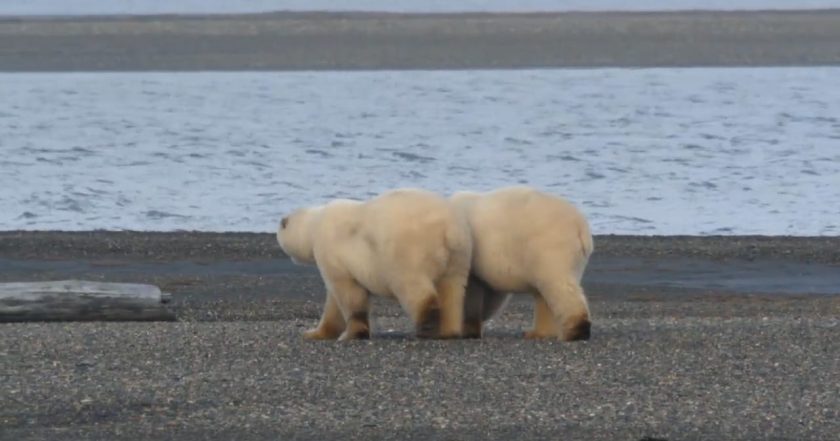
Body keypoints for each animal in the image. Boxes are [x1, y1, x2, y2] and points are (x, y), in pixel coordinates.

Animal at [278, 187, 470, 338]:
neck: (315, 223)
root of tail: (448, 229)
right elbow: (334, 303)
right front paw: (315, 333)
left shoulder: (332, 253)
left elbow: (349, 294)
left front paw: (353, 333)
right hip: (459, 255)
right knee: (452, 290)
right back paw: (449, 330)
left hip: (407, 251)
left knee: (412, 286)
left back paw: (427, 326)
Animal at [450, 186, 592, 340]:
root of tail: (580, 226)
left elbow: (470, 292)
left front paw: (466, 329)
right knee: (545, 292)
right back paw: (538, 332)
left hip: (549, 246)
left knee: (559, 285)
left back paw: (576, 331)